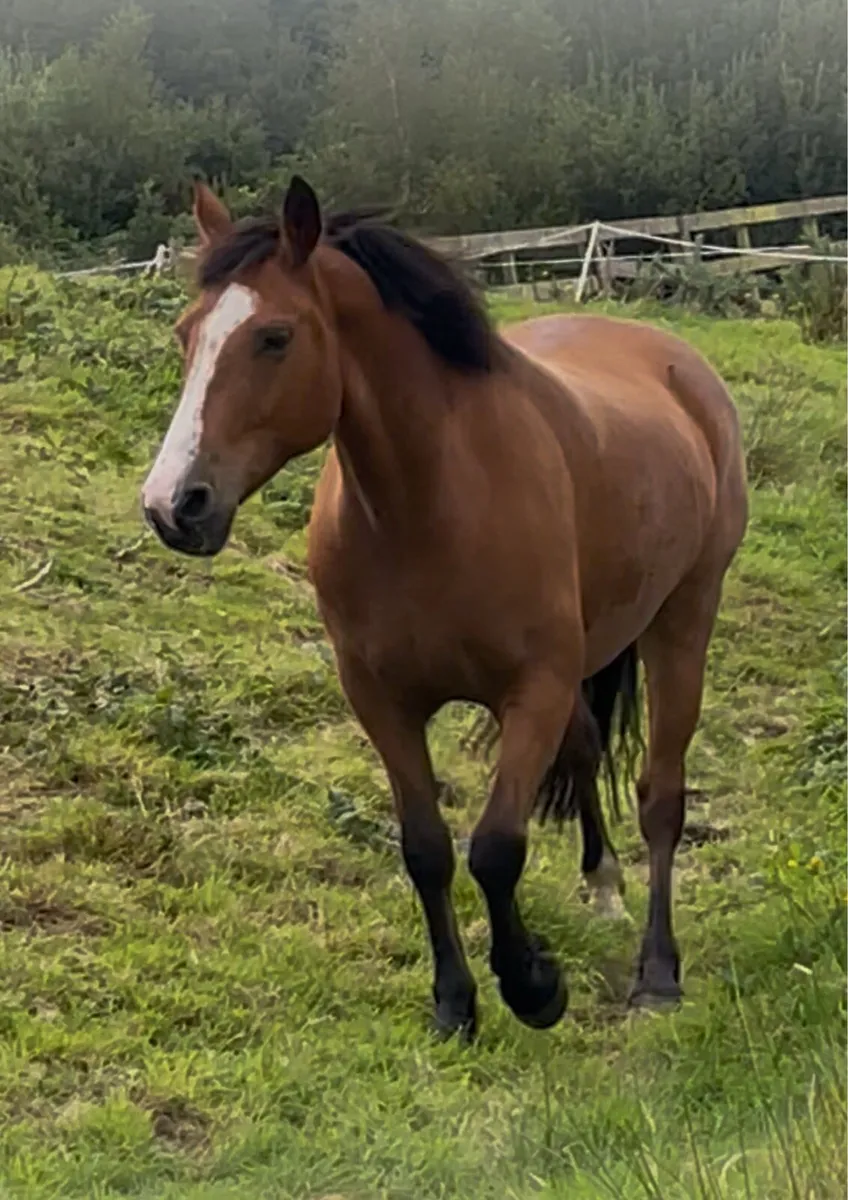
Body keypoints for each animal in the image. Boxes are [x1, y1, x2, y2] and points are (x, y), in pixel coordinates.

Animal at [141, 176, 748, 1040]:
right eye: (186, 335)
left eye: (274, 337)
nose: (172, 505)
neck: (431, 506)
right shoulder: (382, 700)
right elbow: (426, 848)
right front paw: (455, 1004)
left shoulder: (532, 690)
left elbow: (495, 848)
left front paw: (534, 987)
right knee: (587, 750)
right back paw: (601, 884)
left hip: (684, 618)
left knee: (661, 794)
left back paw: (657, 973)